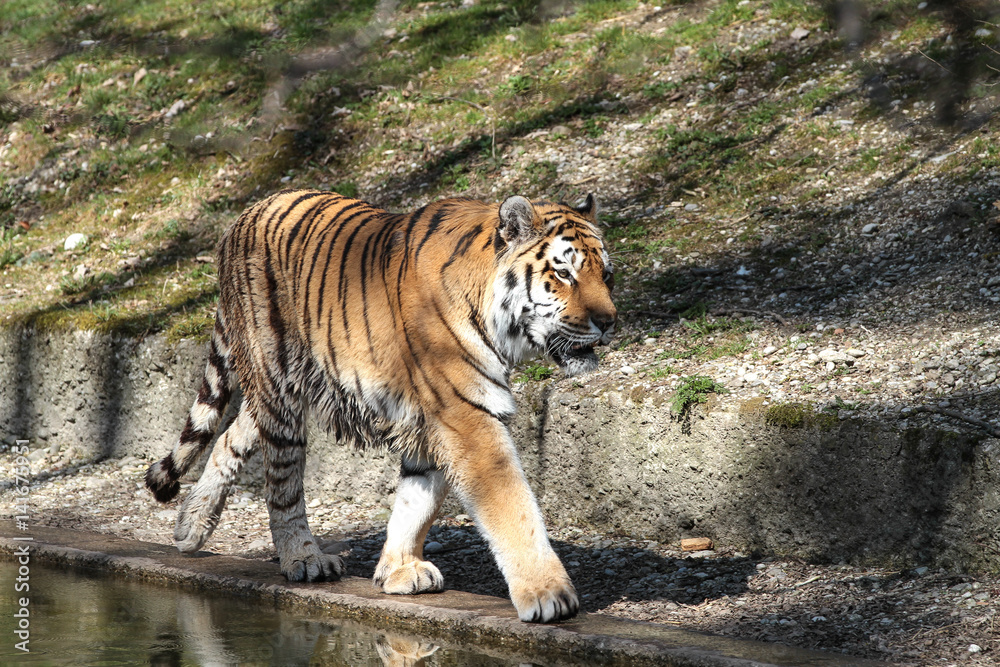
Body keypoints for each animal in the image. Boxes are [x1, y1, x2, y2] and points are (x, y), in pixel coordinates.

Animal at [145, 189, 617, 623]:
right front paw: (548, 594)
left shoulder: (433, 422)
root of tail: (246, 214)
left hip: (276, 390)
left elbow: (416, 502)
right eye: (564, 273)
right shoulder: (466, 416)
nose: (610, 321)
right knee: (282, 483)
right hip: (277, 386)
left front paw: (398, 570)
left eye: (607, 275)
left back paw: (191, 525)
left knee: (230, 434)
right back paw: (303, 559)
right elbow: (513, 506)